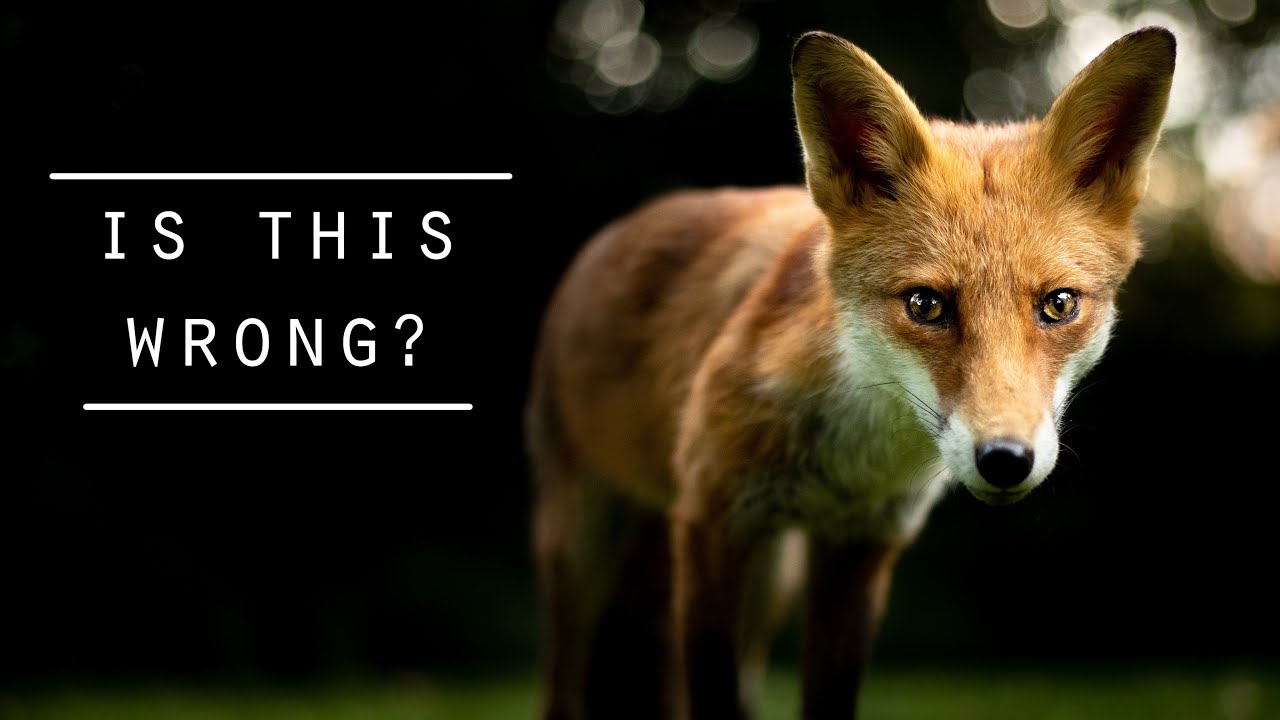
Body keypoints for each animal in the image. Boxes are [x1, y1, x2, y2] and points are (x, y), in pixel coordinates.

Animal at [527, 27, 1175, 720]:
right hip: (585, 546)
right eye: (926, 305)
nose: (1005, 460)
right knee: (567, 684)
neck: (849, 463)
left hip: (770, 577)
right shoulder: (710, 522)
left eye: (1058, 305)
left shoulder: (859, 549)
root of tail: (621, 227)